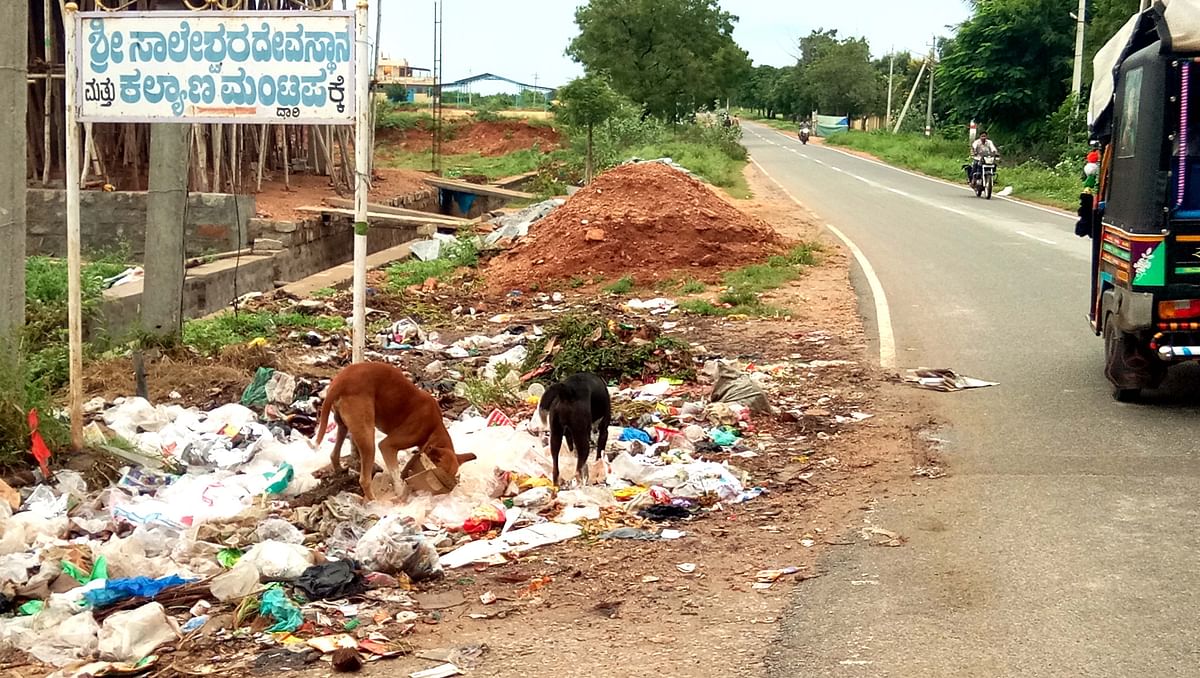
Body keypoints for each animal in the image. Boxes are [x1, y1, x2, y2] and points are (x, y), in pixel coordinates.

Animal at [312, 362, 475, 499]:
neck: (434, 428)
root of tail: (340, 382)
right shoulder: (387, 446)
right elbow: (396, 474)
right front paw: (400, 492)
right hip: (368, 439)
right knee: (364, 480)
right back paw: (373, 503)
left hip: (343, 426)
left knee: (334, 454)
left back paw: (340, 471)